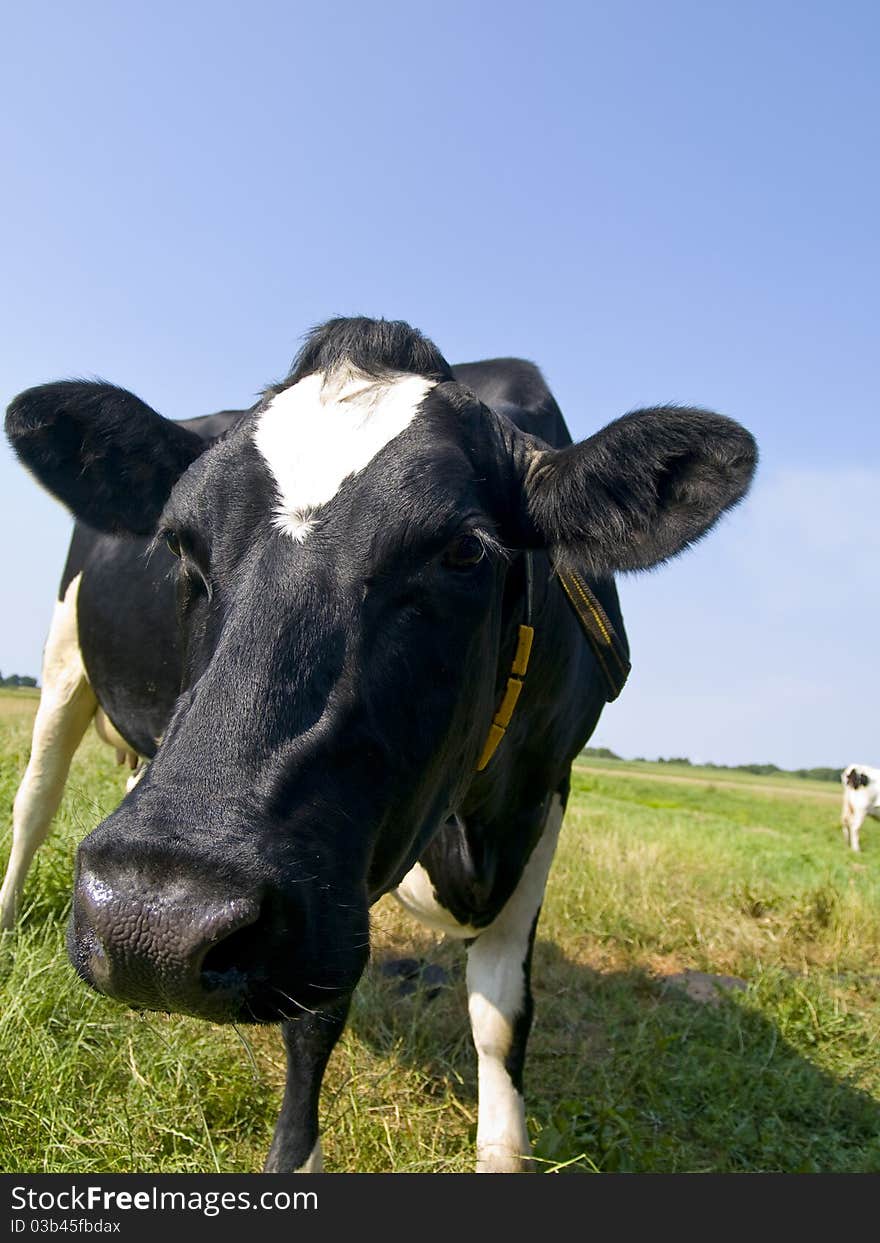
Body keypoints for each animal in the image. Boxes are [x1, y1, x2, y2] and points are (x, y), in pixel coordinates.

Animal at [1, 315, 755, 1168]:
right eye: (178, 544)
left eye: (465, 549)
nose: (152, 920)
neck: (468, 836)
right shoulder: (330, 862)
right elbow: (317, 1013)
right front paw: (296, 1155)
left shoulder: (545, 790)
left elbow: (503, 1008)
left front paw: (502, 1149)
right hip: (64, 663)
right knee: (34, 799)